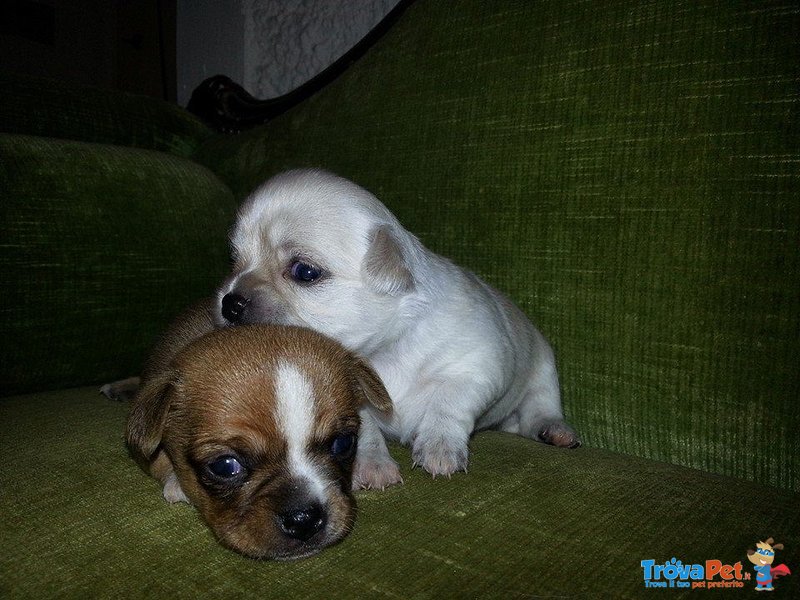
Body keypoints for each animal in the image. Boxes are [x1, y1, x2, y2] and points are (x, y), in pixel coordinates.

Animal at [219, 168, 580, 488]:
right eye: (235, 260)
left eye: (305, 271)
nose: (230, 303)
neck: (381, 354)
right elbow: (366, 431)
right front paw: (373, 465)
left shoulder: (476, 367)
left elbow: (448, 402)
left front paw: (439, 446)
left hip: (543, 370)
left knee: (539, 408)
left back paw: (555, 431)